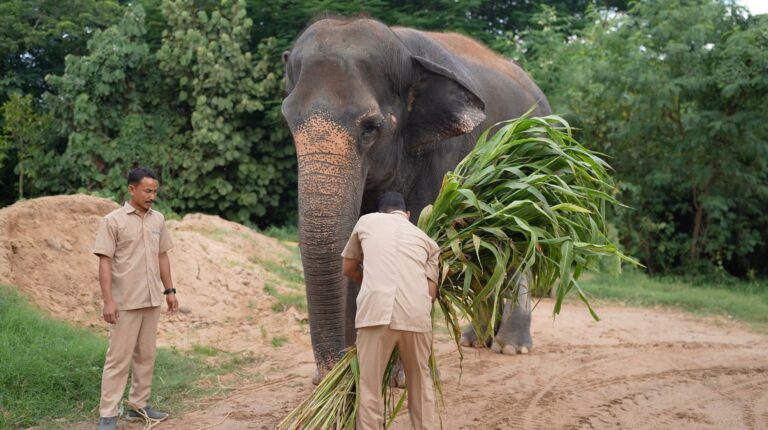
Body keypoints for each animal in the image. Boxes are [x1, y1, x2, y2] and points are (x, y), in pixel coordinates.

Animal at [281, 17, 551, 380]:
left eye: (371, 128)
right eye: (289, 122)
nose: (330, 370)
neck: (404, 50)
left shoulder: (444, 154)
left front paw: (394, 377)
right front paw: (355, 371)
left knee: (519, 245)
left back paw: (511, 346)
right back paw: (477, 340)